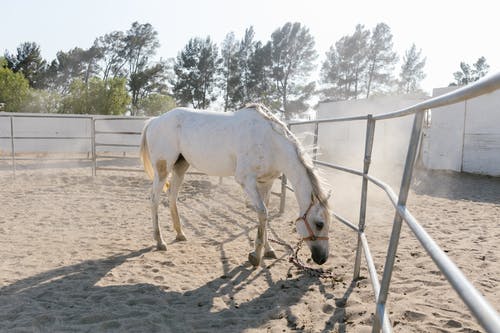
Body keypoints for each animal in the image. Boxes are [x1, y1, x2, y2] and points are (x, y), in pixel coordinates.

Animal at [139, 102, 330, 266]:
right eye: (319, 224)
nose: (322, 258)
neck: (270, 142)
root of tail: (155, 120)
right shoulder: (246, 181)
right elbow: (263, 213)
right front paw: (255, 256)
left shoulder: (266, 182)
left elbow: (265, 214)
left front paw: (268, 250)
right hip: (162, 170)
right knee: (154, 199)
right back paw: (160, 241)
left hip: (180, 167)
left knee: (172, 196)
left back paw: (180, 234)